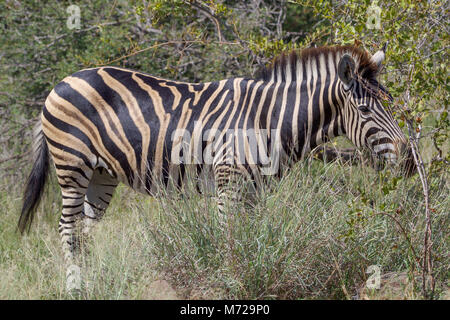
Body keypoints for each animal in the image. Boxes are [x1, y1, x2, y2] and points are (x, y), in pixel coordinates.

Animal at [19, 44, 414, 290]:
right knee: (67, 228)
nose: (410, 160)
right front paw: (233, 281)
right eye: (365, 111)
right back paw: (75, 284)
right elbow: (230, 239)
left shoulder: (257, 190)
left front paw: (255, 275)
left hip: (102, 176)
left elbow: (253, 237)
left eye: (390, 103)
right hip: (72, 167)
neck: (269, 120)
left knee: (85, 233)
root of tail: (61, 82)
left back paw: (95, 281)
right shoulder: (229, 183)